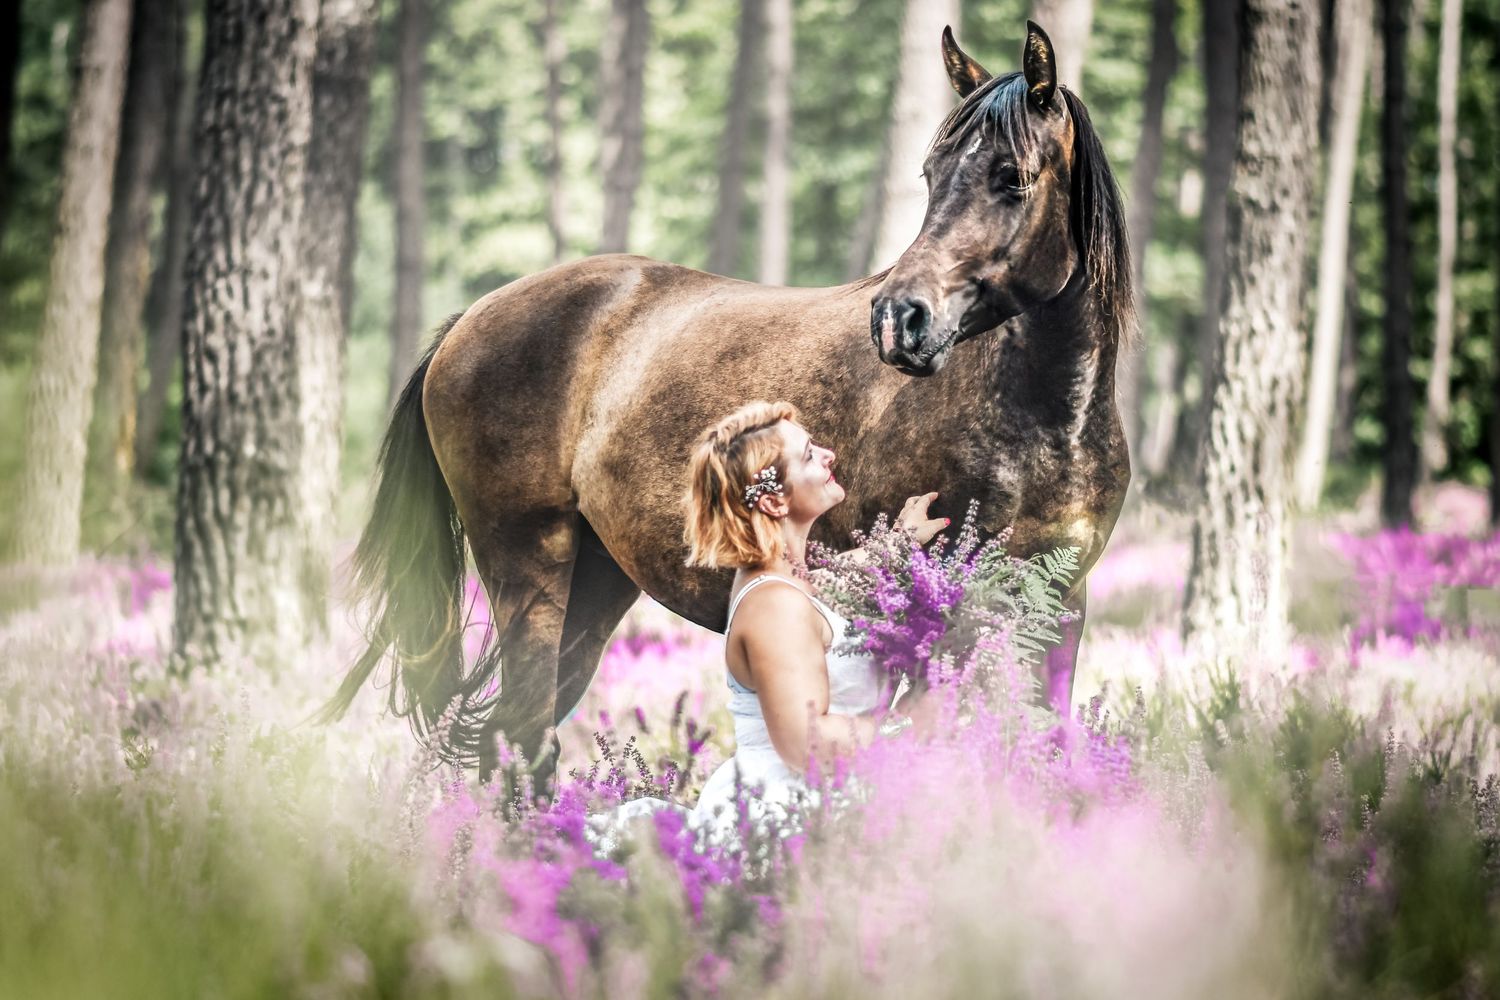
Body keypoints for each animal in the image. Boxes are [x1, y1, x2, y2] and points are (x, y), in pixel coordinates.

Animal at [324, 21, 1134, 783]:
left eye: (1012, 177)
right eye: (932, 175)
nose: (897, 319)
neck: (1046, 421)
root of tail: (469, 318)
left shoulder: (1058, 610)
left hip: (595, 583)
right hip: (531, 571)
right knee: (519, 738)